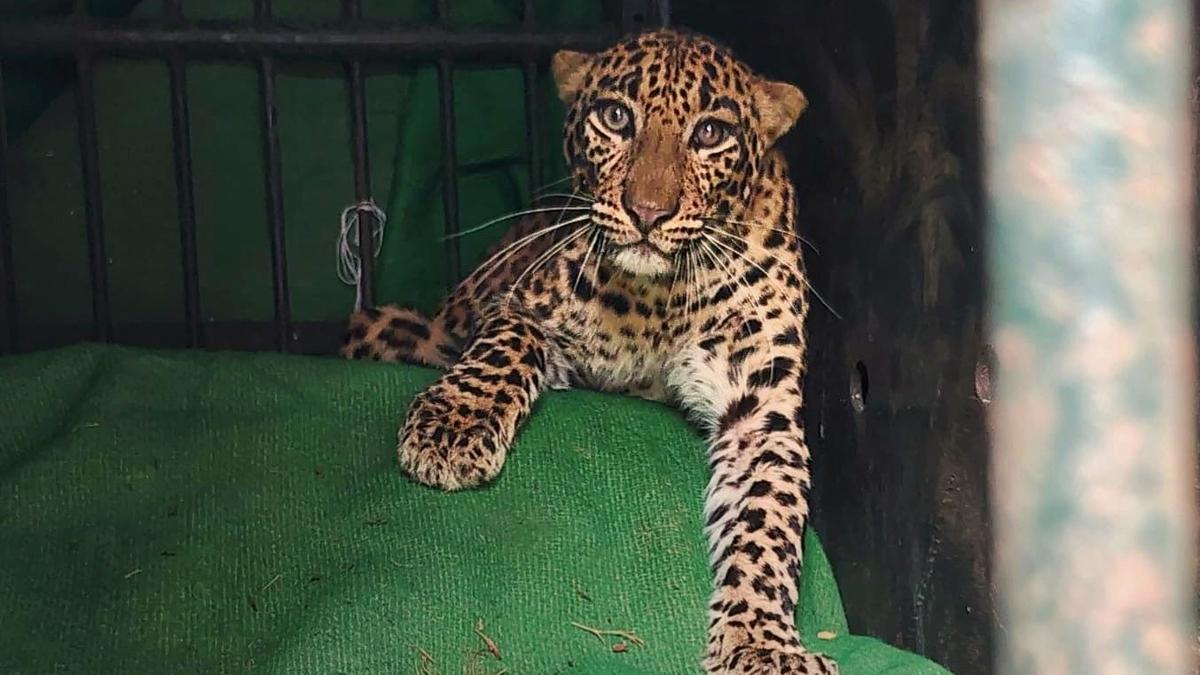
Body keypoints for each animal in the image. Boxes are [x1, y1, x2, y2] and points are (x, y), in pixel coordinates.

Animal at [341, 28, 837, 675]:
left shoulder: (761, 414)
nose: (648, 212)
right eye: (616, 117)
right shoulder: (523, 303)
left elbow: (767, 522)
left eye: (710, 133)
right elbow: (509, 343)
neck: (657, 303)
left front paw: (762, 642)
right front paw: (453, 426)